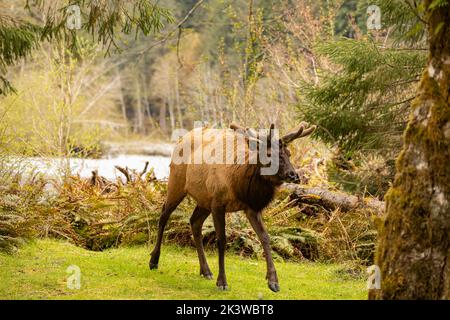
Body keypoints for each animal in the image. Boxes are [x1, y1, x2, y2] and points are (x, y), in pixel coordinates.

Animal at [150, 121, 316, 292]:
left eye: (289, 153)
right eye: (269, 154)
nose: (294, 175)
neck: (238, 183)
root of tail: (181, 139)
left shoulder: (251, 207)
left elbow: (265, 237)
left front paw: (273, 281)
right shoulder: (218, 203)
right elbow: (222, 240)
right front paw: (222, 282)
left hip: (204, 200)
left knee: (194, 222)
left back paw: (205, 270)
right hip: (177, 181)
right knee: (164, 215)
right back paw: (154, 260)